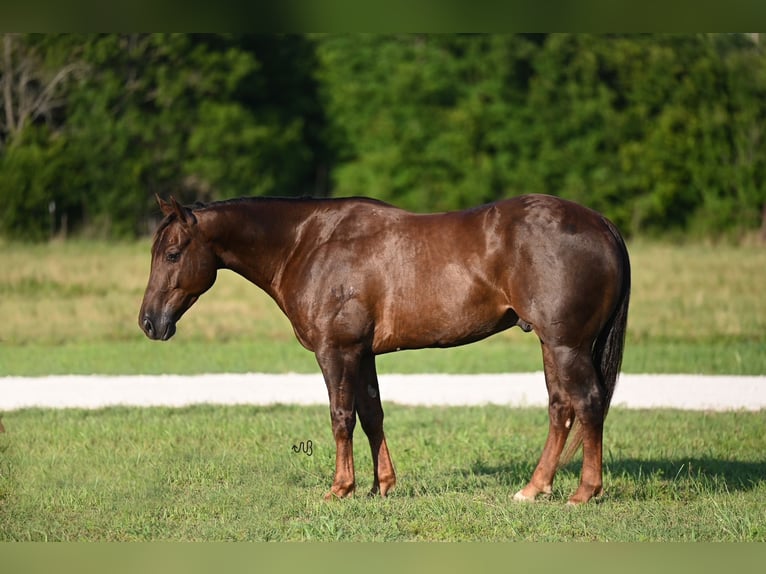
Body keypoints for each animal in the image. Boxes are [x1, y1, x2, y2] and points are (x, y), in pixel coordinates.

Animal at [138, 194, 632, 504]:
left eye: (173, 254)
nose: (149, 322)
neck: (308, 243)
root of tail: (602, 223)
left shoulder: (336, 351)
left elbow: (341, 417)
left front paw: (341, 489)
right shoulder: (363, 353)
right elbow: (372, 413)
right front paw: (383, 486)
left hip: (567, 345)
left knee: (588, 403)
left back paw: (583, 493)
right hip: (552, 344)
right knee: (561, 408)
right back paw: (533, 489)